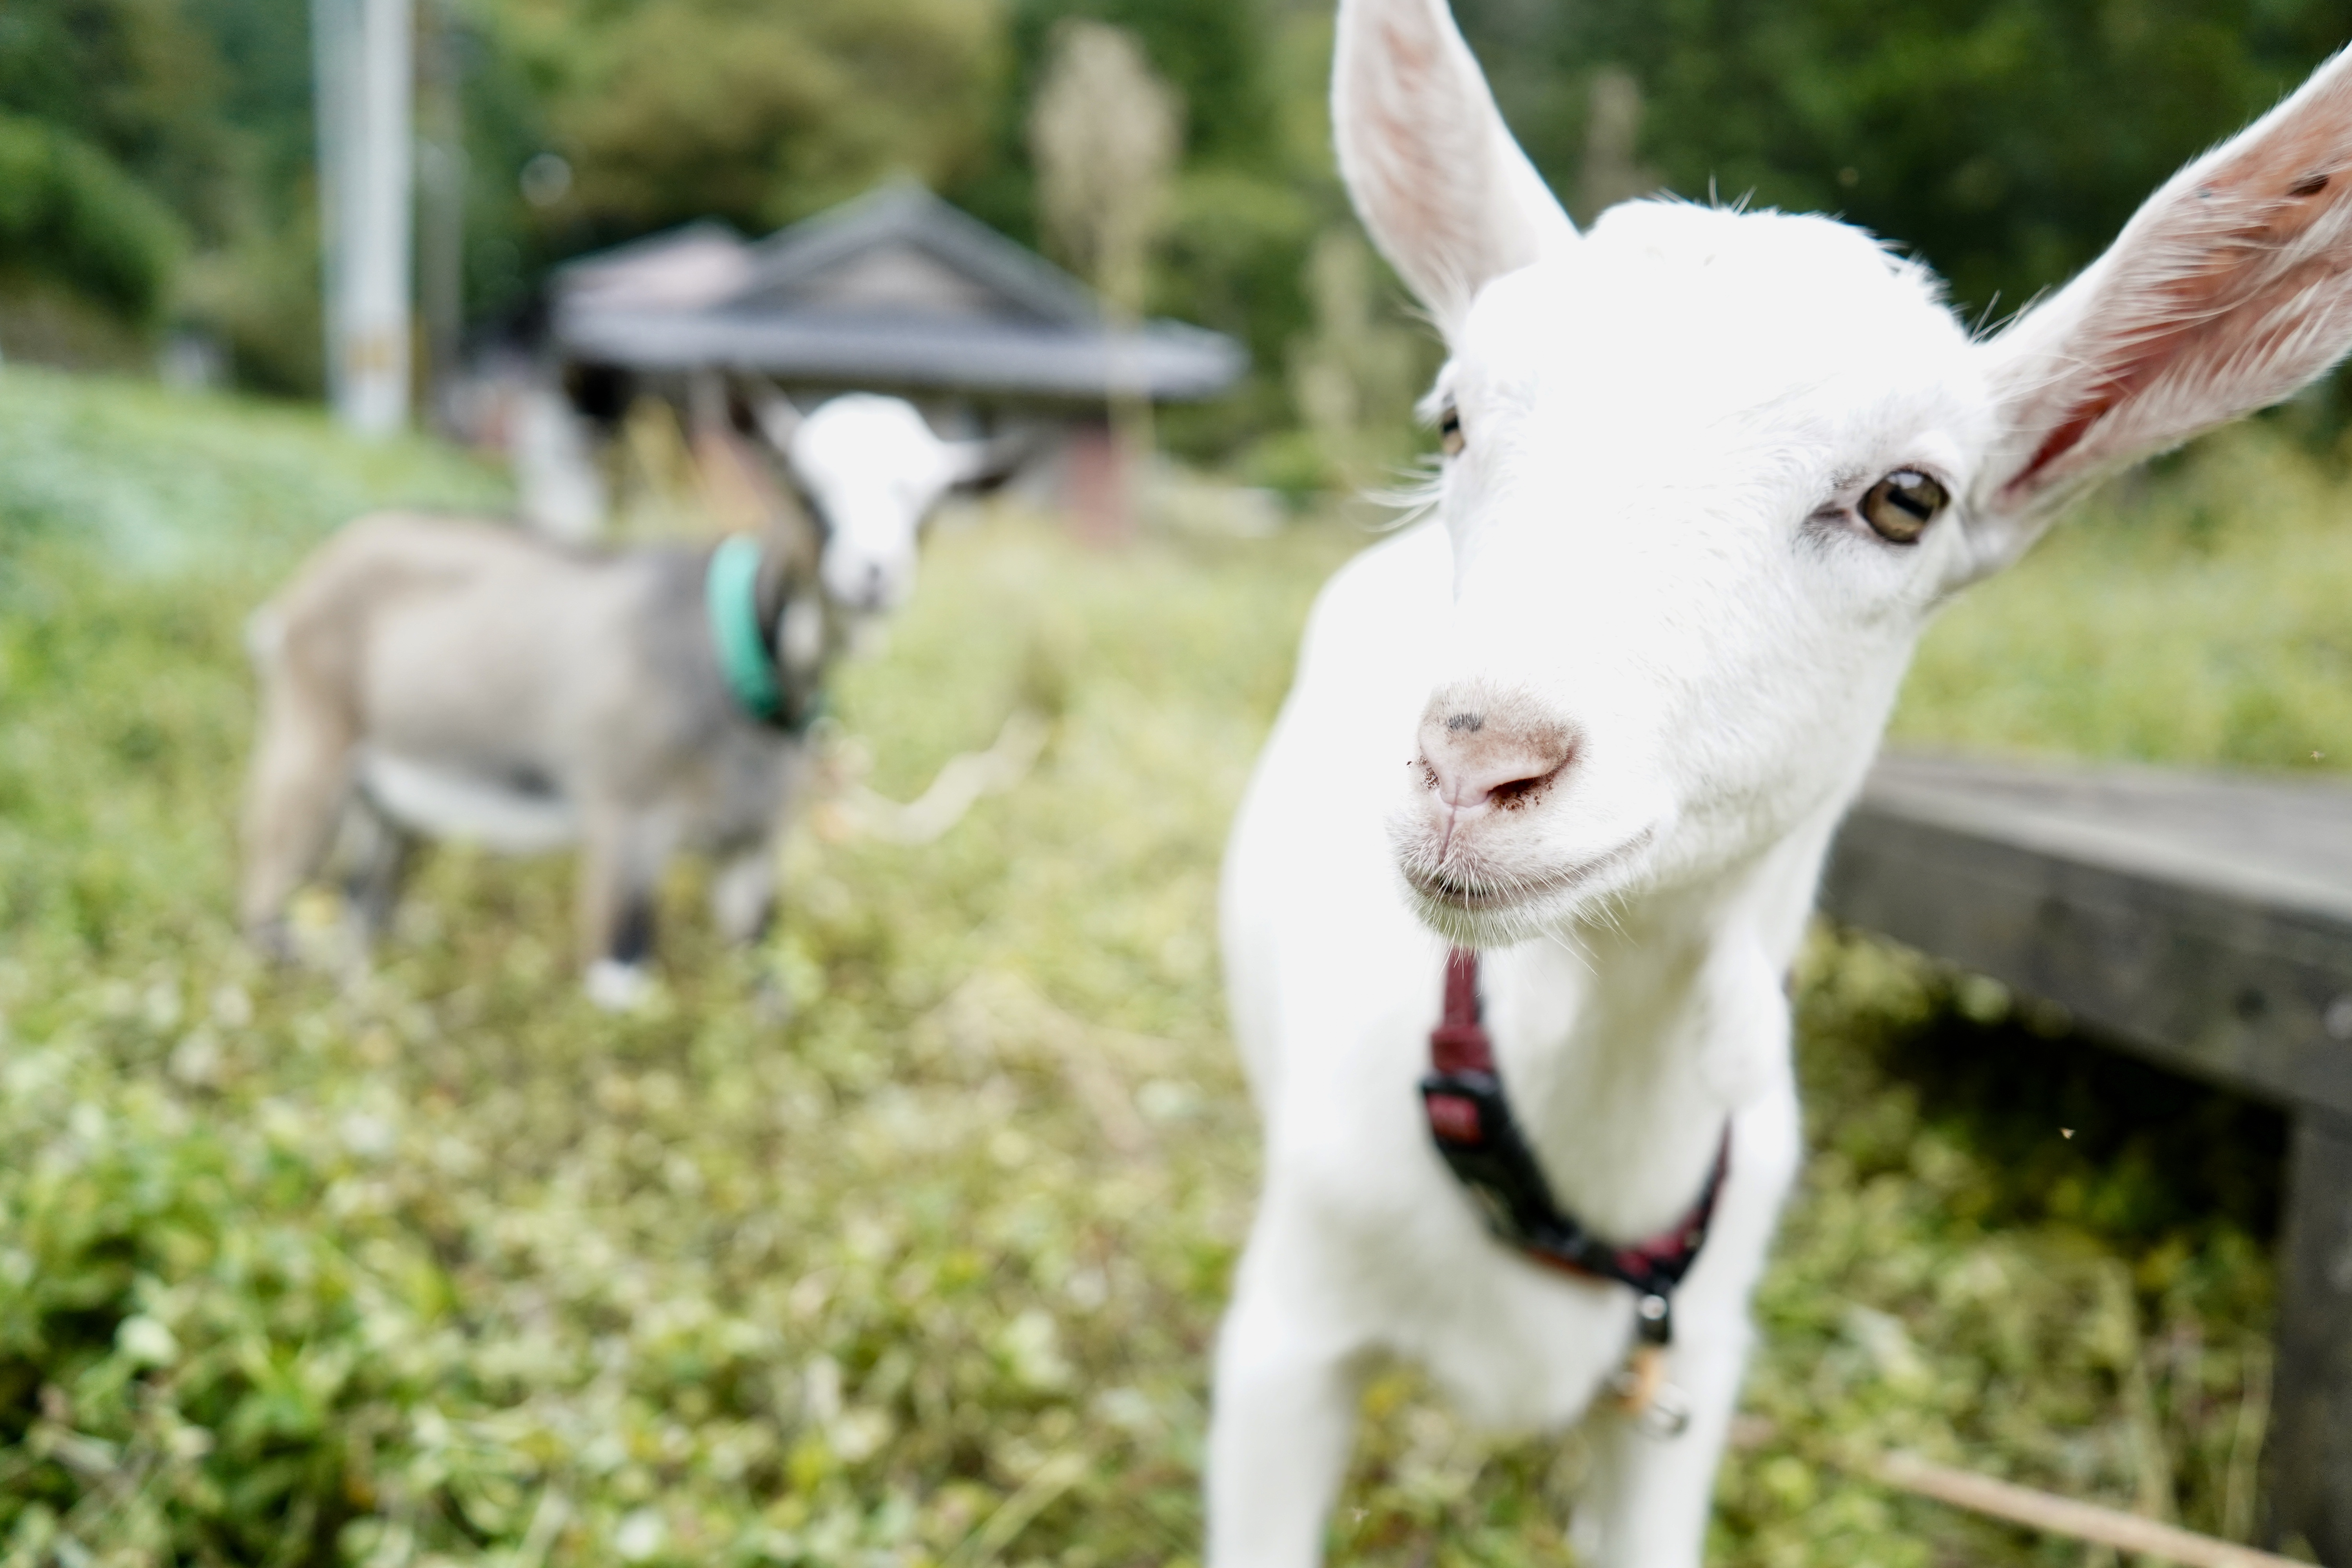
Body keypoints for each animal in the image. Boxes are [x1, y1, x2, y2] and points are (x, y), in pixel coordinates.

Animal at [243, 392, 997, 1006]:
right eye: (806, 487)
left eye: (928, 503)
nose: (873, 576)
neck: (728, 650)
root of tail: (298, 597)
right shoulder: (625, 821)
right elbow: (621, 983)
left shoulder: (749, 846)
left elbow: (765, 977)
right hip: (310, 753)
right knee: (263, 907)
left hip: (388, 806)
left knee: (362, 909)